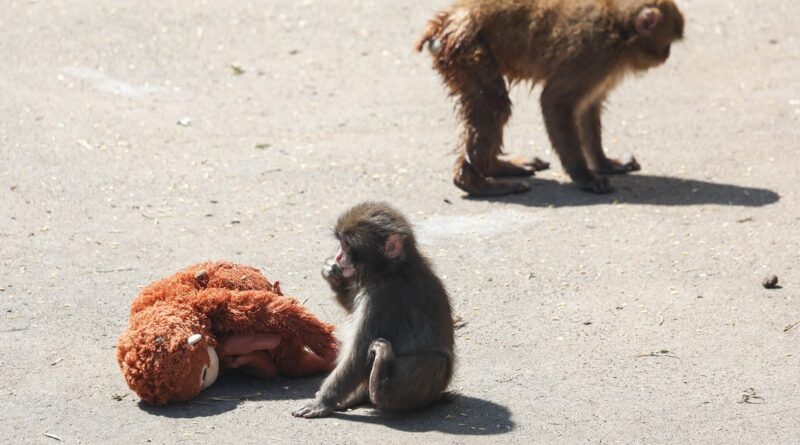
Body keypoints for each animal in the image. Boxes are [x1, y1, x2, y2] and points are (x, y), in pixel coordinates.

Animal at [292, 202, 455, 418]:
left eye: (347, 246)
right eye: (341, 244)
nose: (339, 257)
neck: (390, 271)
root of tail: (437, 395)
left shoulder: (383, 298)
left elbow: (359, 354)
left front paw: (322, 402)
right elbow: (352, 309)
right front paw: (334, 277)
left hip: (433, 383)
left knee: (431, 361)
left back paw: (378, 387)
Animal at [416, 0, 685, 196]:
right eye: (668, 43)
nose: (667, 56)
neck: (618, 27)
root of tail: (446, 18)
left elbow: (588, 107)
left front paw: (604, 162)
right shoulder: (593, 54)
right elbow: (555, 100)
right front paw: (584, 176)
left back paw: (494, 167)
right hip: (466, 48)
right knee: (494, 104)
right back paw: (474, 182)